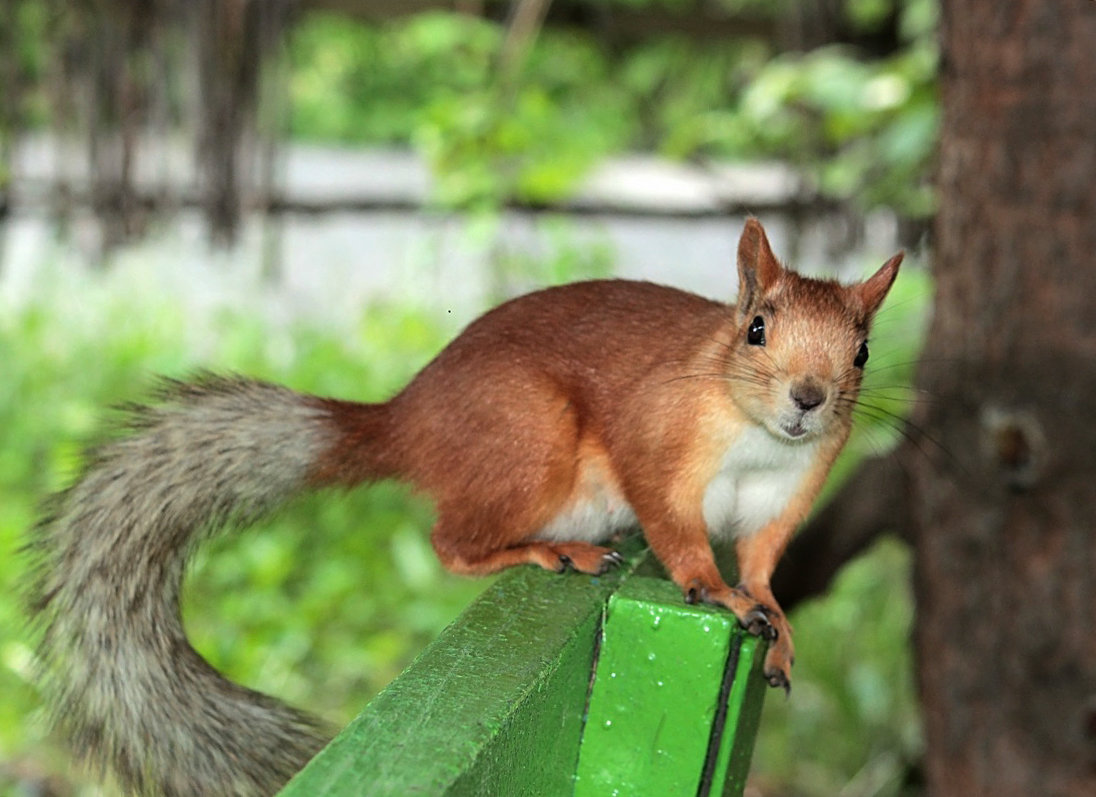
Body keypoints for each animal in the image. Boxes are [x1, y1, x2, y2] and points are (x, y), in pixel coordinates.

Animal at [25, 219, 898, 797]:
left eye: (861, 351)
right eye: (756, 329)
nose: (809, 398)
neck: (760, 441)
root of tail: (403, 421)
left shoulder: (785, 496)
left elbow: (762, 562)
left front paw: (773, 616)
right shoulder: (659, 452)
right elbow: (680, 533)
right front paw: (715, 590)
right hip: (530, 444)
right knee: (450, 540)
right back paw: (551, 549)